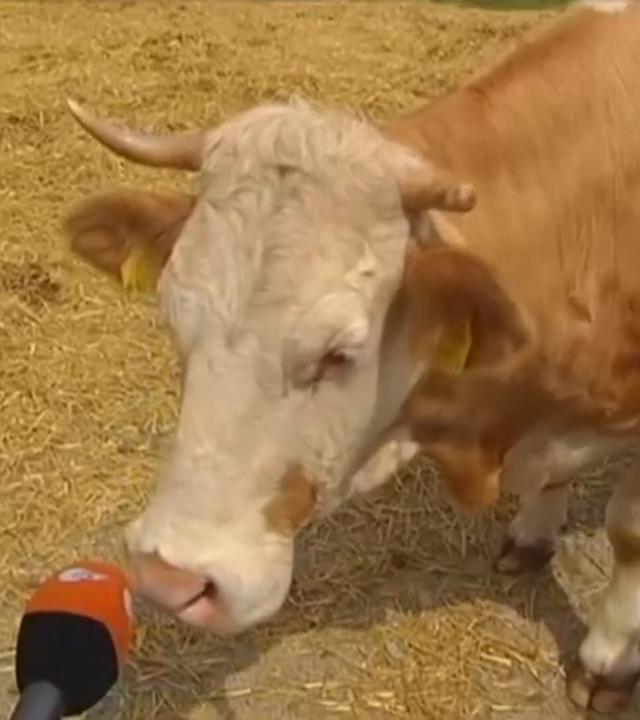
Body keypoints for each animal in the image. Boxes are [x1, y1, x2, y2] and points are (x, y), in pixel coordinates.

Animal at [62, 0, 640, 713]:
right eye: (175, 320)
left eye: (340, 354)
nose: (171, 577)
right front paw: (534, 535)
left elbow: (628, 533)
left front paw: (606, 663)